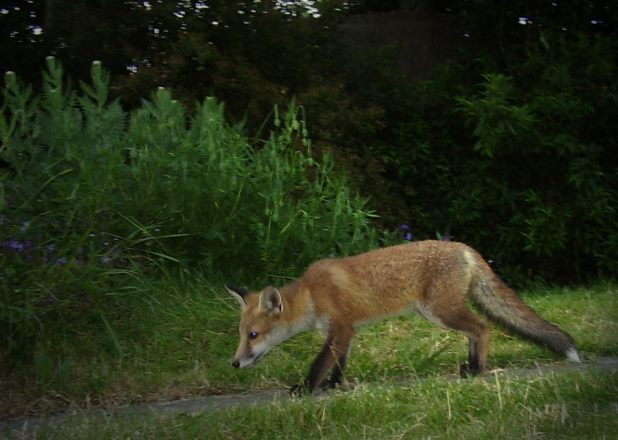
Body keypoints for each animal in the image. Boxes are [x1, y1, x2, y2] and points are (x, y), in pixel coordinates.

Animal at [224, 239, 580, 394]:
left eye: (253, 335)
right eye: (241, 335)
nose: (235, 363)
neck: (313, 293)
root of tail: (465, 247)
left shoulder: (341, 327)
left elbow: (320, 363)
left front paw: (307, 388)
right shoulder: (346, 332)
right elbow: (339, 364)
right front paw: (336, 386)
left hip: (441, 312)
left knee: (482, 328)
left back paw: (478, 369)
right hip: (441, 312)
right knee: (475, 331)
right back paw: (469, 366)